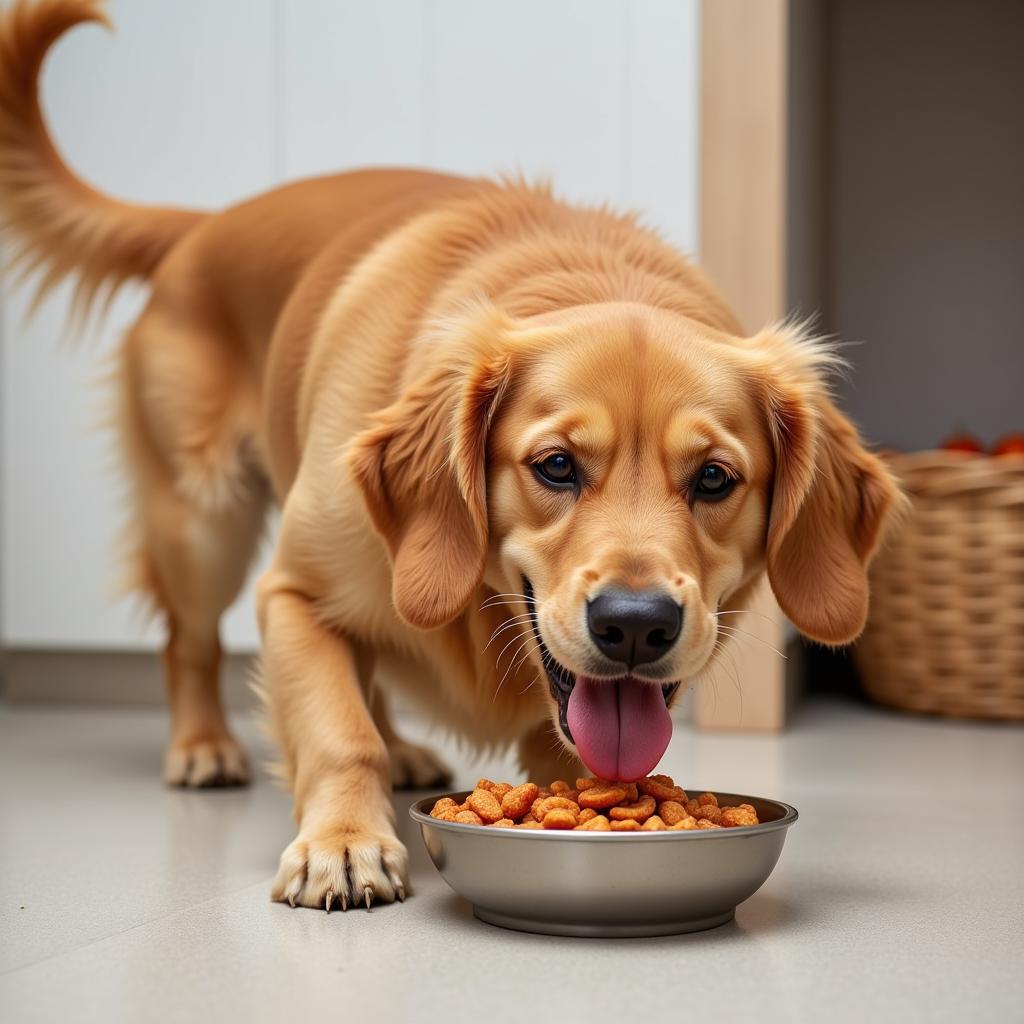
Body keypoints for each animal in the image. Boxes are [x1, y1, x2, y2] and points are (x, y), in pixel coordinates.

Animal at [0, 0, 901, 913]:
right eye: (555, 467)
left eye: (715, 478)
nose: (635, 626)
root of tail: (205, 223)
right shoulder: (291, 593)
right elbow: (337, 729)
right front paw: (345, 842)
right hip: (203, 525)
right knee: (188, 643)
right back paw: (202, 745)